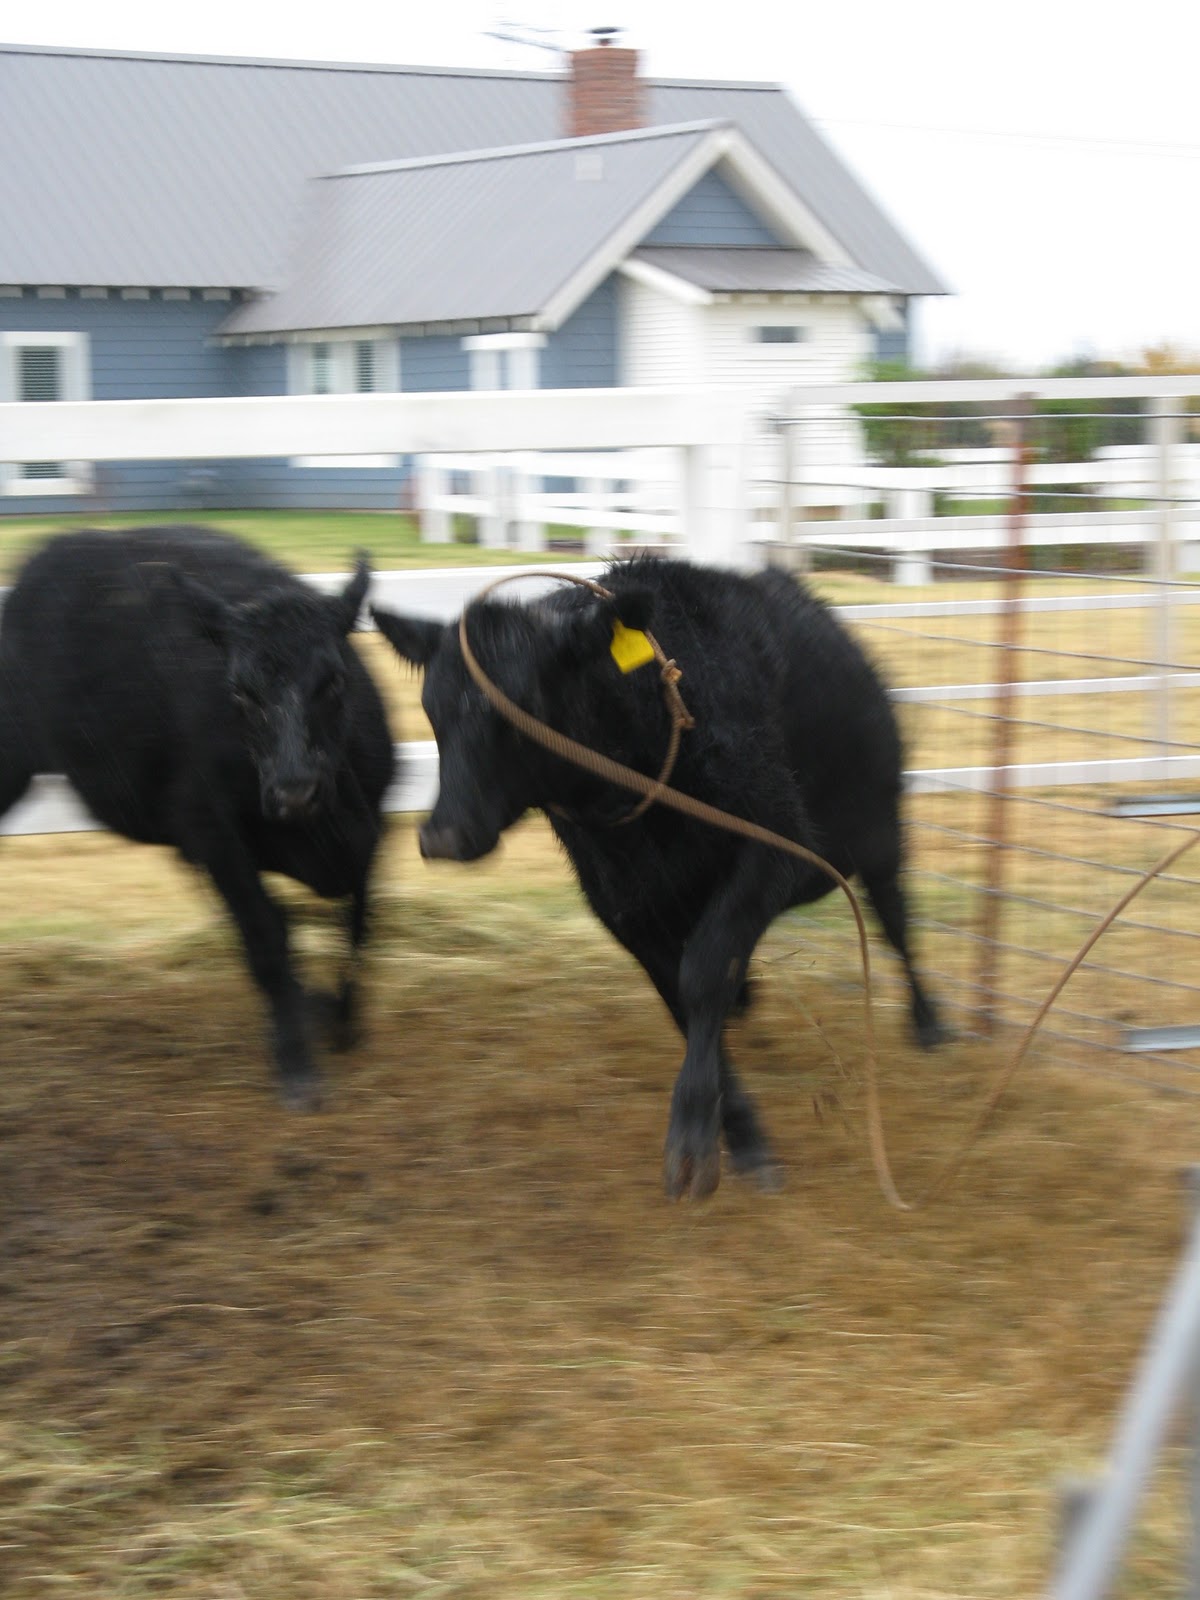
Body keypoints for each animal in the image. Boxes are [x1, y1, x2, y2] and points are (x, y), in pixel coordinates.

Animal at [0, 526, 396, 1110]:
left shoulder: (371, 832)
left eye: (334, 681)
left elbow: (361, 923)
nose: (294, 791)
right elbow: (267, 934)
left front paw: (338, 1017)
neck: (319, 828)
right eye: (239, 691)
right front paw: (297, 1063)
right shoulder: (215, 835)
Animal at [373, 557, 943, 1200]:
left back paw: (929, 1025)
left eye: (524, 704)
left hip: (880, 836)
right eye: (432, 708)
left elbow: (704, 973)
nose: (442, 836)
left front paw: (696, 1136)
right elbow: (683, 999)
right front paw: (735, 1131)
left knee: (896, 922)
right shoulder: (623, 906)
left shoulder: (775, 845)